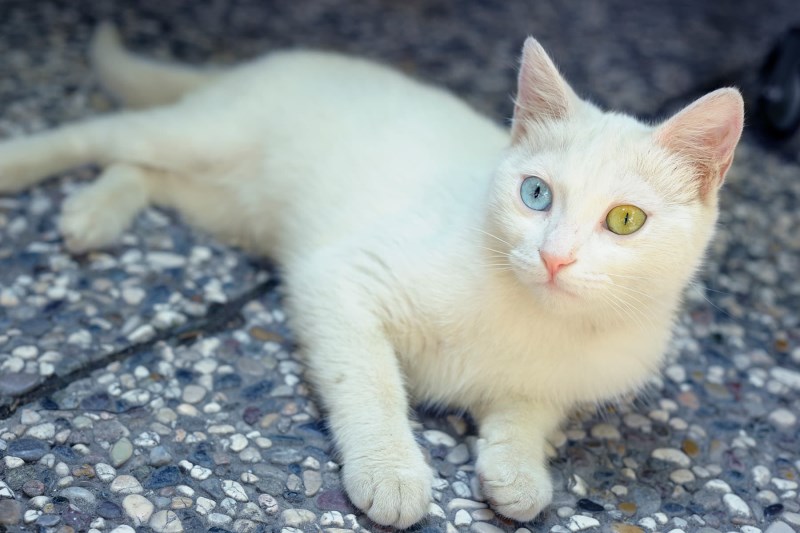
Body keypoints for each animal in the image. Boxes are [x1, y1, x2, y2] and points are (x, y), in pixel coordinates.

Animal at [0, 25, 744, 528]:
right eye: (535, 194)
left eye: (625, 220)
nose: (555, 257)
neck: (534, 315)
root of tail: (275, 60)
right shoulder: (341, 277)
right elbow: (371, 381)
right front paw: (392, 471)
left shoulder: (556, 385)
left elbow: (527, 412)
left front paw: (517, 471)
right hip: (210, 138)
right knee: (107, 133)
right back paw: (30, 172)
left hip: (226, 203)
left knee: (142, 169)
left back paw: (95, 214)